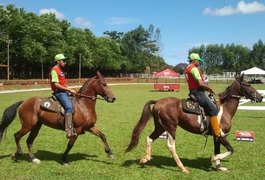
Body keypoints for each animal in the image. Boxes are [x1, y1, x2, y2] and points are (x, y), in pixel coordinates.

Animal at [125, 74, 262, 172]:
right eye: (248, 84)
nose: (260, 97)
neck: (224, 109)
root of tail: (158, 101)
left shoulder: (216, 137)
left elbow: (218, 150)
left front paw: (219, 167)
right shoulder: (221, 135)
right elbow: (230, 150)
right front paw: (213, 159)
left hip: (160, 127)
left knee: (149, 139)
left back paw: (145, 159)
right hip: (170, 128)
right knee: (171, 146)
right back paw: (182, 168)